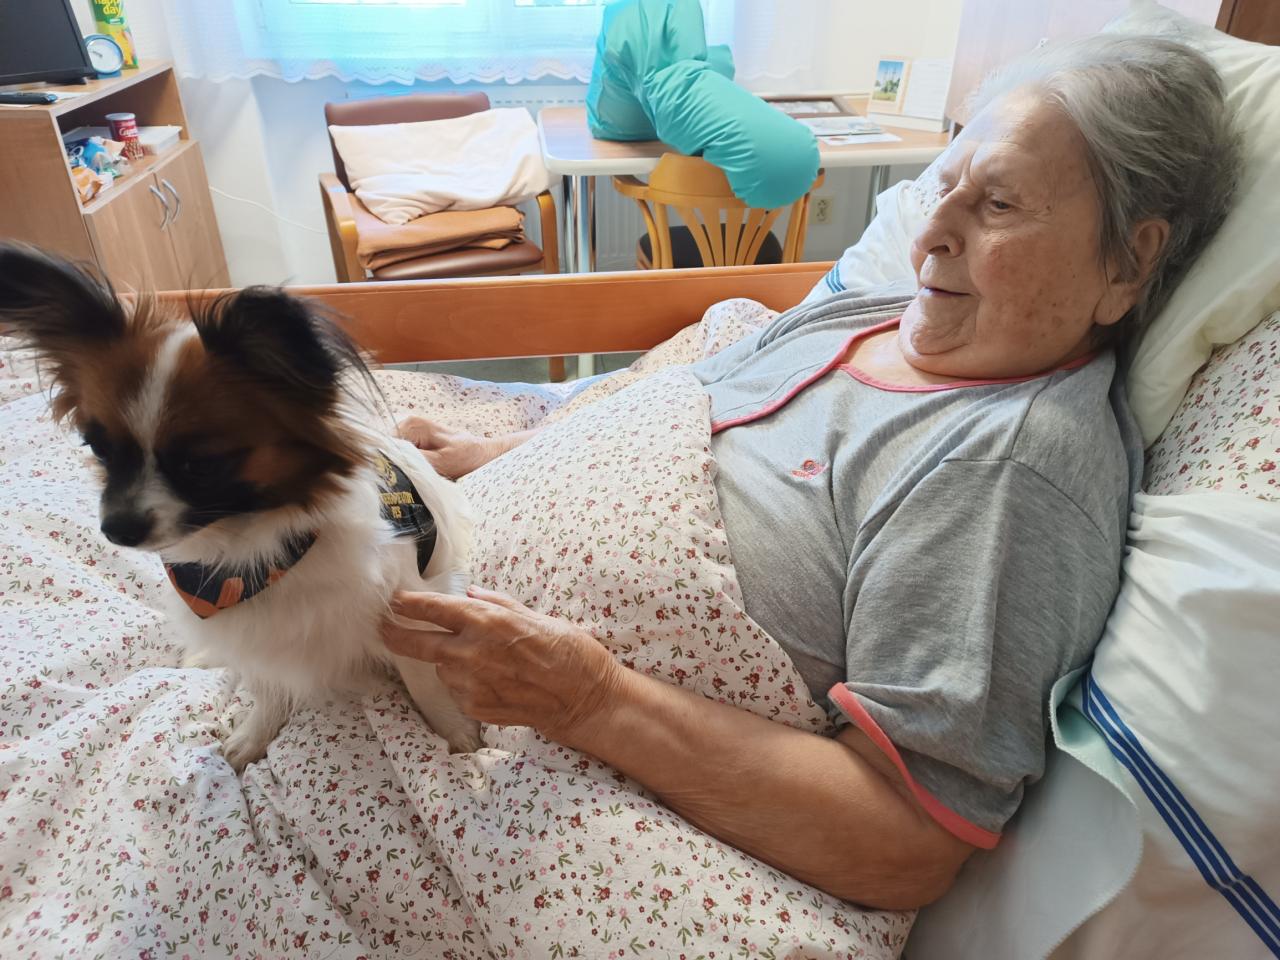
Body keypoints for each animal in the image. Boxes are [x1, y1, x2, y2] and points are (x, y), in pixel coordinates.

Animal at [0, 242, 481, 771]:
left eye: (201, 464)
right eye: (99, 449)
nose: (116, 529)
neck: (248, 553)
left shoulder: (407, 607)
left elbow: (423, 677)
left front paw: (456, 734)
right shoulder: (254, 637)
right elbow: (265, 687)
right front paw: (254, 735)